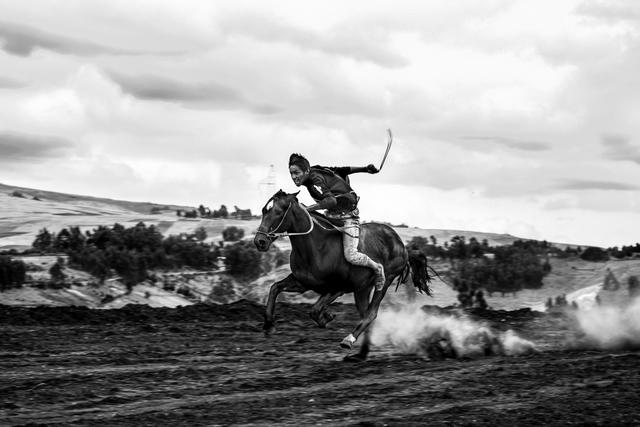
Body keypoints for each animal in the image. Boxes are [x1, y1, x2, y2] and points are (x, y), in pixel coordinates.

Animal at [254, 191, 430, 362]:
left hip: (382, 282)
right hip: (363, 289)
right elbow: (274, 288)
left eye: (278, 212)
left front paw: (327, 317)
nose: (259, 241)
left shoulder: (338, 288)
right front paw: (268, 324)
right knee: (366, 314)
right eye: (264, 211)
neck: (316, 248)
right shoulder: (303, 282)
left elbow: (315, 310)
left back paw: (349, 340)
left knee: (371, 313)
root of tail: (403, 246)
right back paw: (361, 354)